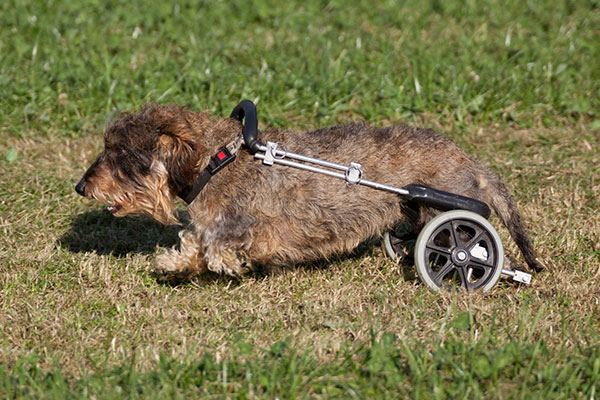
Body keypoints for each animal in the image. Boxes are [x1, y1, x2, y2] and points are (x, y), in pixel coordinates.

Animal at [75, 104, 544, 282]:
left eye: (119, 152)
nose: (81, 186)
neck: (215, 160)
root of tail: (471, 163)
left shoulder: (241, 225)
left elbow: (215, 246)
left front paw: (225, 263)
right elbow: (195, 242)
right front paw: (173, 262)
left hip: (449, 219)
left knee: (474, 250)